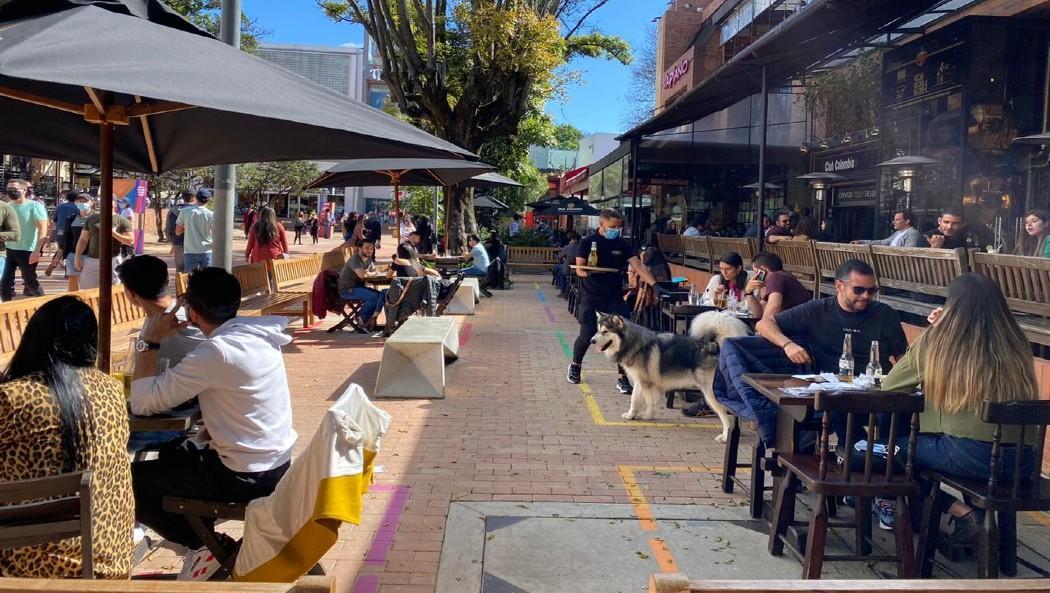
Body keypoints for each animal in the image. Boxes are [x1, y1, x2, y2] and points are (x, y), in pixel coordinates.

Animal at [592, 310, 755, 438]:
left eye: (605, 331)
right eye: (597, 330)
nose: (592, 340)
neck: (632, 343)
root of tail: (717, 348)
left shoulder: (643, 382)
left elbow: (638, 400)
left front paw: (635, 415)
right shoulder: (645, 383)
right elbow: (646, 401)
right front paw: (644, 415)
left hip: (711, 393)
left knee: (728, 417)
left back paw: (725, 436)